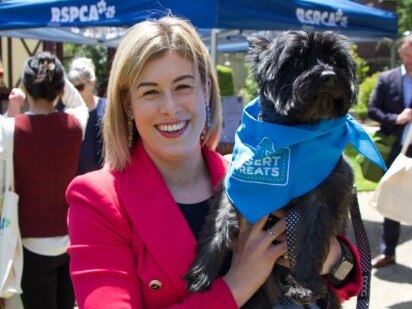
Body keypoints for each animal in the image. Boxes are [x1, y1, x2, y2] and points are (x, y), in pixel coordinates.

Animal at [187, 30, 358, 306]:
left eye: (335, 60)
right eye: (297, 60)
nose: (328, 76)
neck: (293, 133)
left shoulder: (322, 200)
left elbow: (311, 239)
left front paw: (304, 286)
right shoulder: (232, 187)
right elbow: (218, 224)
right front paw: (201, 272)